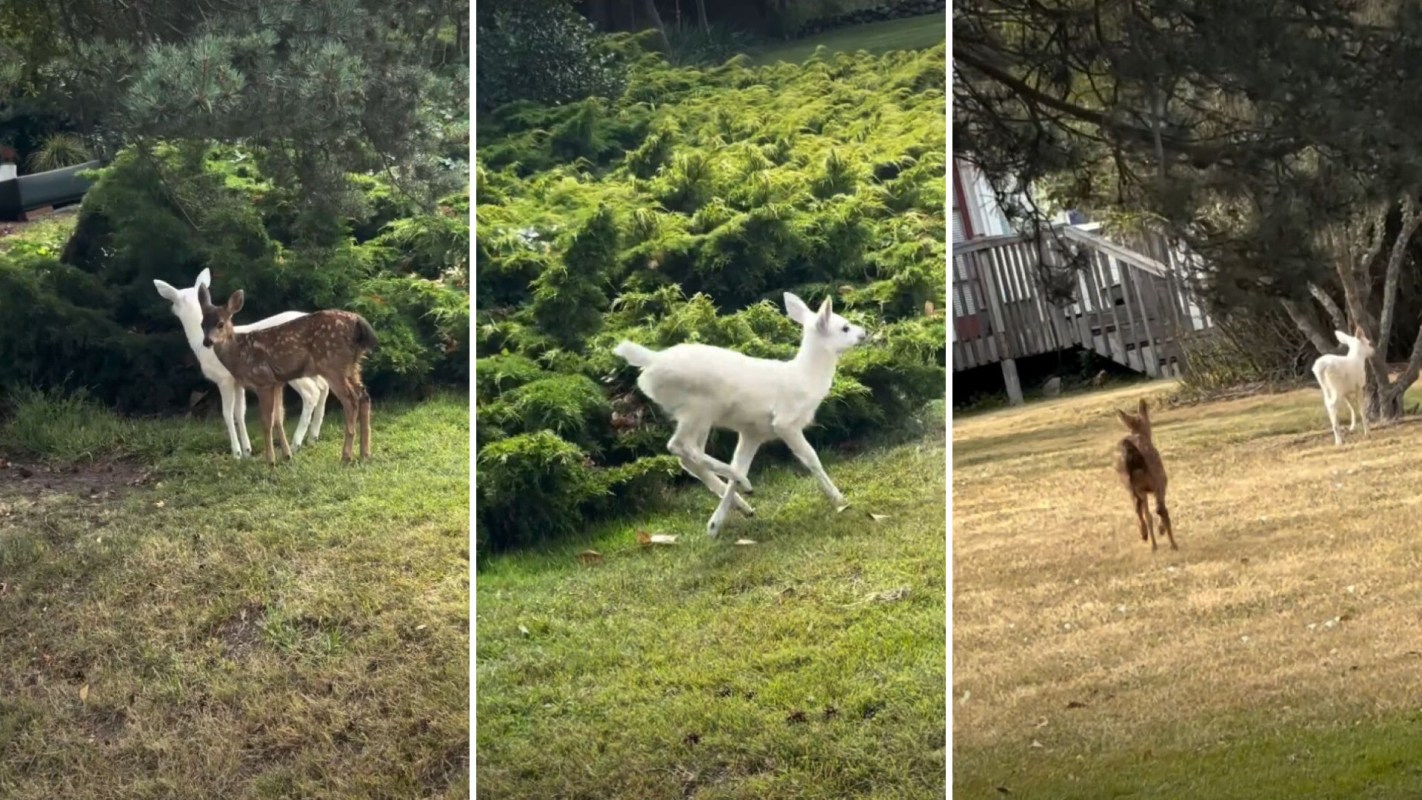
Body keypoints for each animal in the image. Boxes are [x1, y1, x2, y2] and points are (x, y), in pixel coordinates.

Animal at [154, 269, 329, 458]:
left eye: (174, 301)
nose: (171, 311)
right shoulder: (238, 381)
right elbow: (240, 412)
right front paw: (247, 450)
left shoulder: (223, 378)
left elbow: (227, 413)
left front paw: (236, 453)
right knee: (324, 387)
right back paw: (313, 437)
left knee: (311, 393)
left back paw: (296, 443)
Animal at [198, 285, 377, 465]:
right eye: (202, 325)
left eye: (220, 324)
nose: (207, 341)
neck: (239, 353)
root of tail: (357, 321)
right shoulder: (277, 382)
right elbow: (279, 419)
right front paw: (286, 455)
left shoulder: (263, 380)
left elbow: (267, 421)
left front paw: (270, 460)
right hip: (352, 366)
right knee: (364, 395)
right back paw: (365, 454)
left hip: (334, 365)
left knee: (350, 400)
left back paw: (347, 455)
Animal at [613, 292, 868, 536]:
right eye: (844, 327)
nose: (864, 334)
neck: (804, 377)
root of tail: (651, 360)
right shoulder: (785, 422)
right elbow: (811, 458)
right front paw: (839, 499)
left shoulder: (753, 432)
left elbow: (741, 462)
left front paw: (715, 525)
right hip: (698, 407)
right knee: (680, 446)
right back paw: (743, 484)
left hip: (697, 415)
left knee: (688, 457)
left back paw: (742, 501)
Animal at [1114, 398, 1177, 551]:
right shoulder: (1161, 483)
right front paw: (1161, 531)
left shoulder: (1143, 491)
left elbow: (1147, 515)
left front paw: (1154, 545)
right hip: (1156, 480)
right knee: (1160, 509)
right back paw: (1173, 543)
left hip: (1129, 485)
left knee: (1138, 509)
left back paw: (1145, 536)